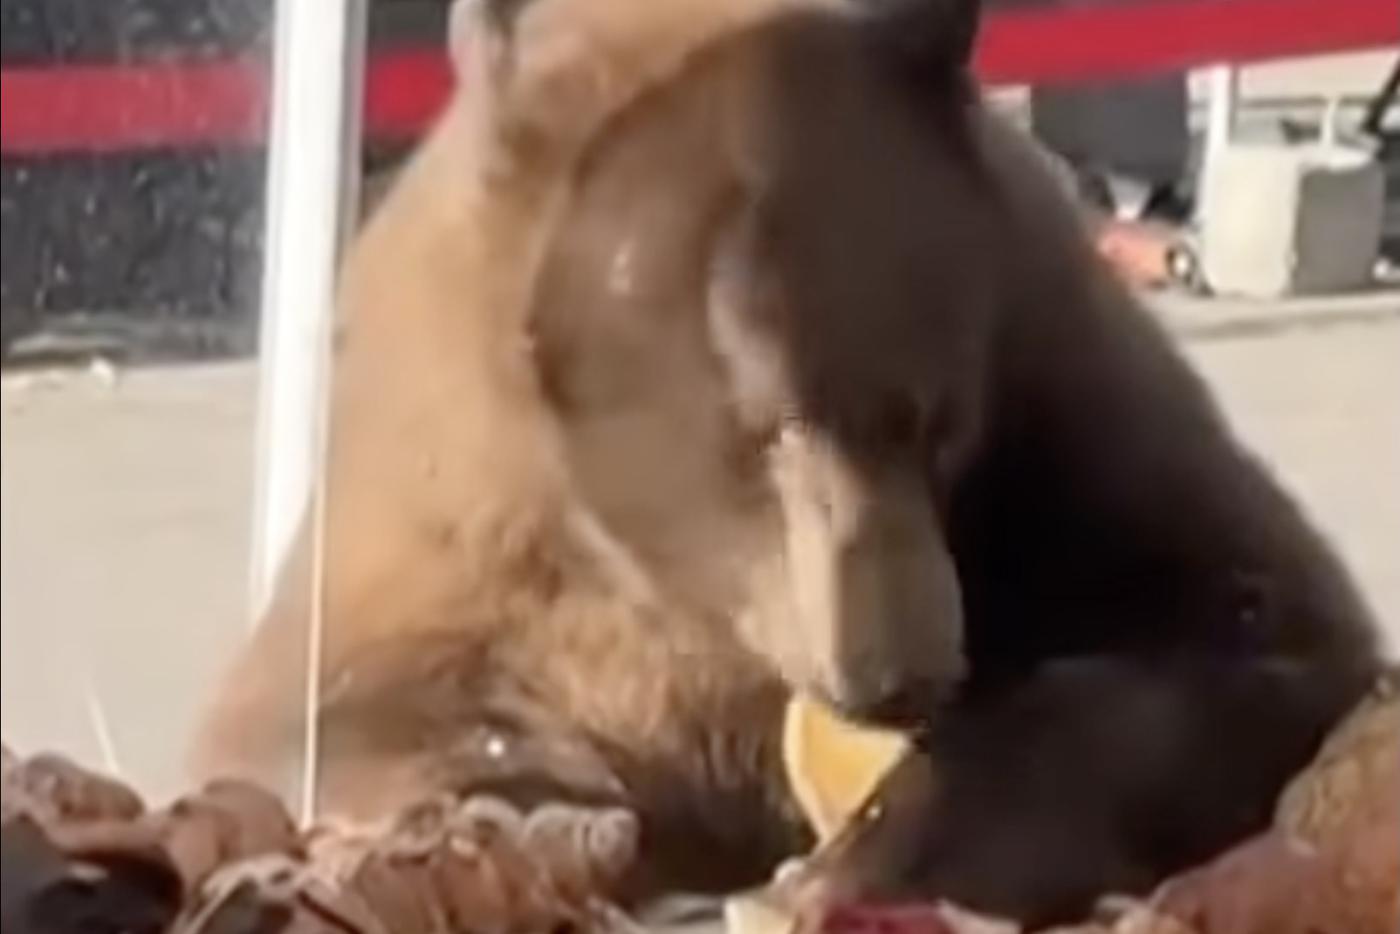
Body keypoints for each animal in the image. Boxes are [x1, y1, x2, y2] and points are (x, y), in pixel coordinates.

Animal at [193, 0, 1386, 921]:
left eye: (931, 416)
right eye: (760, 430)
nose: (902, 670)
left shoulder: (1059, 384)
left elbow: (1259, 628)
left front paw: (872, 847)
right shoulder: (452, 496)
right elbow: (310, 713)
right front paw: (542, 814)